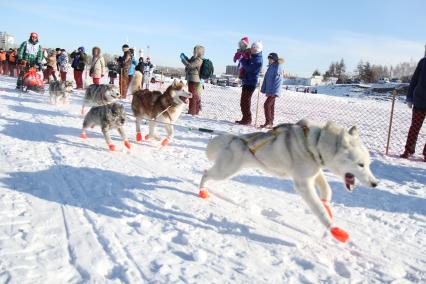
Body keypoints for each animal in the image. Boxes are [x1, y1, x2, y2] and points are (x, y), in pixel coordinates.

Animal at [200, 118, 380, 243]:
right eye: (361, 164)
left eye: (368, 164)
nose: (375, 183)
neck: (316, 144)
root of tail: (234, 139)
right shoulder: (303, 184)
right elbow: (318, 210)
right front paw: (334, 229)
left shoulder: (314, 173)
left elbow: (326, 190)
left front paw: (327, 204)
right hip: (225, 172)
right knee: (206, 173)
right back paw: (201, 191)